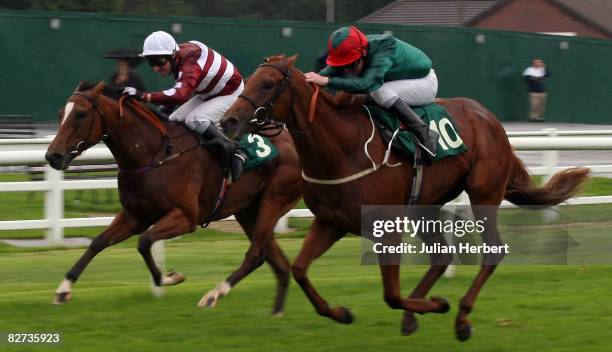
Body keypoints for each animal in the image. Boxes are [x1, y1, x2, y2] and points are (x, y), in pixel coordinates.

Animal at [44, 81, 302, 314]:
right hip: (248, 212)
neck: (153, 155)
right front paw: (63, 289)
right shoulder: (134, 216)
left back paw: (213, 295)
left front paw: (170, 277)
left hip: (273, 201)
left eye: (80, 114)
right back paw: (276, 313)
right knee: (278, 263)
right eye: (60, 114)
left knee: (257, 255)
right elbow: (97, 242)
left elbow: (145, 241)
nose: (53, 156)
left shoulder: (185, 218)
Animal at [222, 55, 592, 340]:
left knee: (492, 252)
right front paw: (341, 312)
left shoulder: (386, 229)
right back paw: (416, 316)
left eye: (269, 84)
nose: (230, 120)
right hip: (424, 208)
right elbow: (300, 270)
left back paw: (460, 318)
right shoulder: (330, 222)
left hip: (484, 194)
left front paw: (439, 304)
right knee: (442, 257)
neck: (343, 148)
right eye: (249, 79)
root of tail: (490, 119)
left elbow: (391, 294)